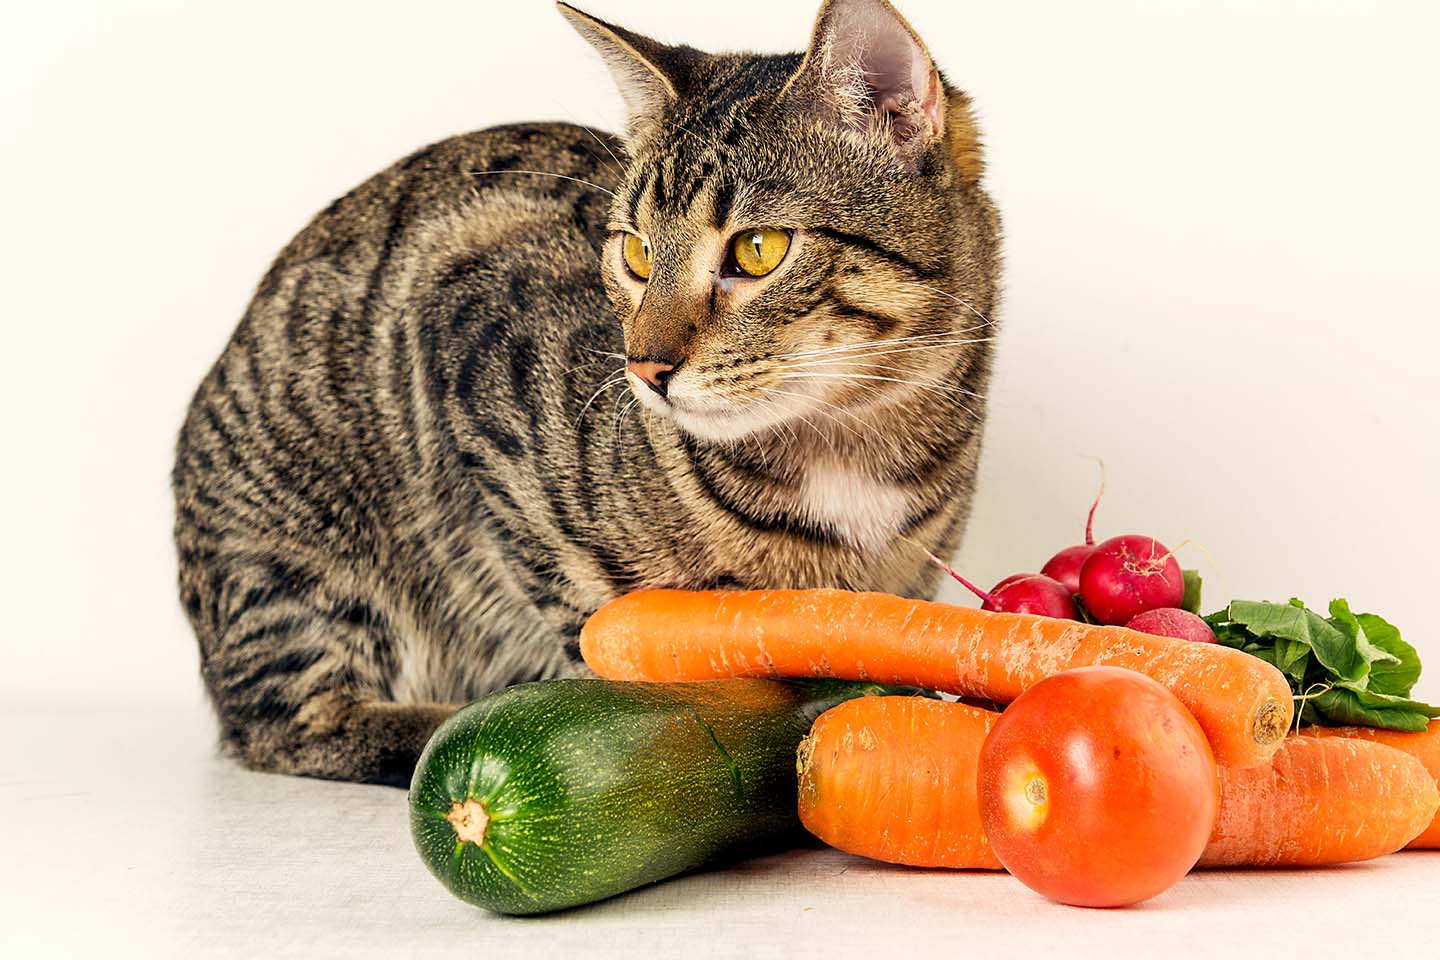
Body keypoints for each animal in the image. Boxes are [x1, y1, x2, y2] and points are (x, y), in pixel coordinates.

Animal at [171, 0, 1002, 782]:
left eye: (758, 250)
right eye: (635, 254)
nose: (644, 366)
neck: (852, 444)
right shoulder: (469, 348)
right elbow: (587, 613)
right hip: (288, 553)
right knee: (285, 725)